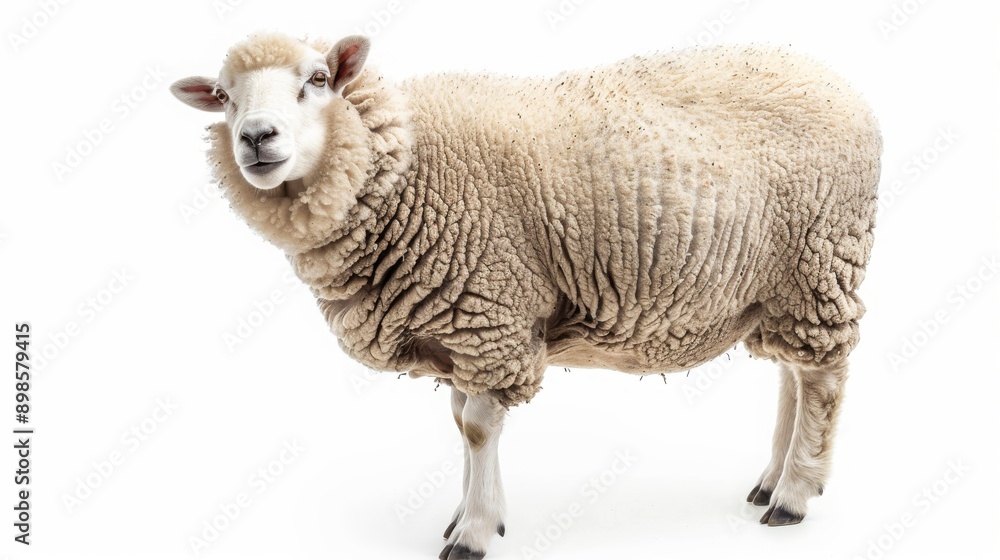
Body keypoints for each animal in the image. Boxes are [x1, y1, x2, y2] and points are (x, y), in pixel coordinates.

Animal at [170, 32, 881, 559]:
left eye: (317, 79)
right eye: (224, 97)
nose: (255, 137)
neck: (405, 167)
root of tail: (838, 82)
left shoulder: (492, 314)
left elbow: (479, 428)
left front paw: (475, 533)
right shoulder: (460, 322)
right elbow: (459, 421)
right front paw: (465, 513)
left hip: (820, 259)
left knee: (824, 376)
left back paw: (794, 494)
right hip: (779, 284)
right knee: (794, 371)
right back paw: (770, 479)